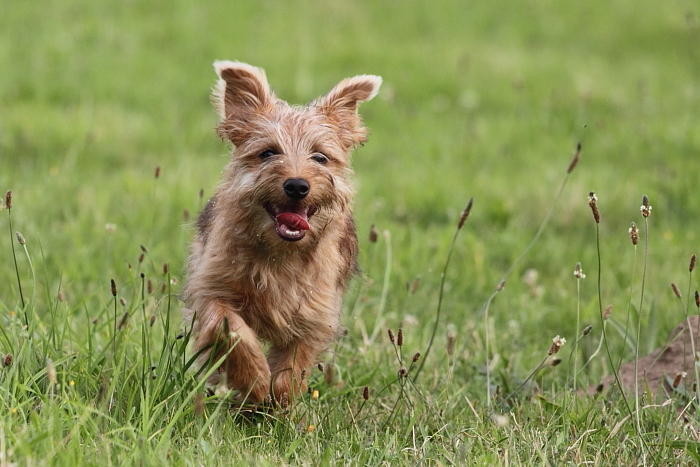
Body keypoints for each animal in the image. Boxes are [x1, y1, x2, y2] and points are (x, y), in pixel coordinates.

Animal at [183, 61, 380, 406]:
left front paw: (277, 401)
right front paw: (255, 380)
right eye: (268, 153)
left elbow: (292, 368)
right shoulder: (212, 289)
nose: (297, 185)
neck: (279, 254)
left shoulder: (314, 314)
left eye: (320, 157)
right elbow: (231, 328)